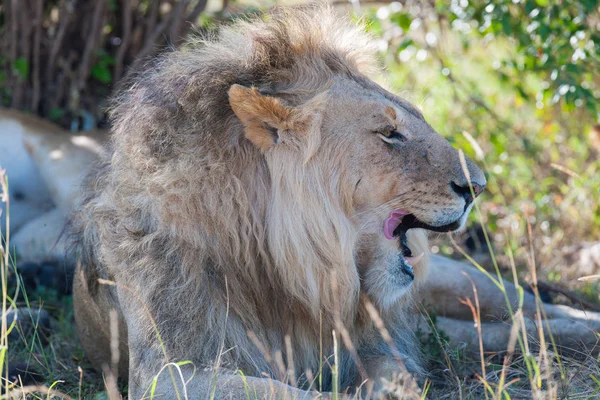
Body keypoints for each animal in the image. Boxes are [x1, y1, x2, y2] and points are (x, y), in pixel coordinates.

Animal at [67, 4, 488, 398]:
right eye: (389, 133)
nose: (478, 187)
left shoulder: (376, 344)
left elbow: (394, 374)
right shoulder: (167, 372)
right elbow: (283, 390)